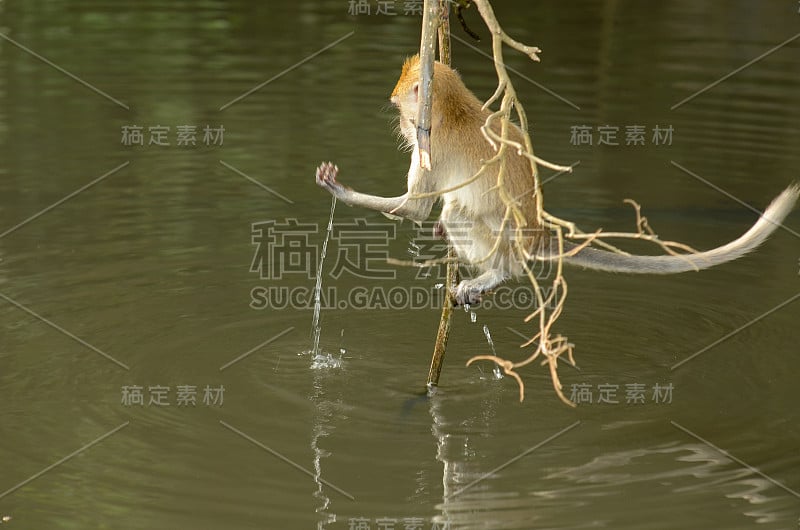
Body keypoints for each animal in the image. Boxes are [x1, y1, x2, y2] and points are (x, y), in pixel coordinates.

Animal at [314, 54, 800, 306]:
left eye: (401, 110)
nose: (401, 125)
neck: (455, 110)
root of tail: (535, 235)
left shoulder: (429, 146)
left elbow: (415, 206)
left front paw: (338, 188)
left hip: (501, 241)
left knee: (459, 213)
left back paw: (494, 273)